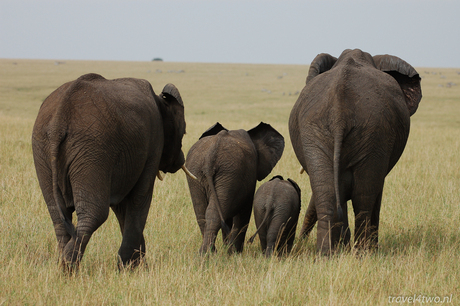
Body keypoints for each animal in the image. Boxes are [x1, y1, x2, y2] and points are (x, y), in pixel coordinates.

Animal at [32, 73, 196, 272]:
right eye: (184, 132)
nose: (181, 159)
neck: (160, 101)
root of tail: (58, 121)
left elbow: (122, 208)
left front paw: (135, 266)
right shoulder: (153, 145)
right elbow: (139, 198)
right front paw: (131, 269)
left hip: (43, 148)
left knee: (58, 215)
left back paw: (62, 267)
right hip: (92, 148)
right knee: (94, 214)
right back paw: (69, 266)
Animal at [184, 123, 284, 255]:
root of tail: (211, 156)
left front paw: (229, 249)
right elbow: (245, 212)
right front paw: (235, 253)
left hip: (199, 174)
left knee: (202, 213)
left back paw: (206, 253)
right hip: (229, 172)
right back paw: (211, 253)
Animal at [290, 49, 422, 256]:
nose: (299, 242)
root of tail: (339, 110)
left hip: (347, 132)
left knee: (331, 193)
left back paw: (330, 255)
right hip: (370, 133)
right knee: (363, 196)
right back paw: (361, 254)